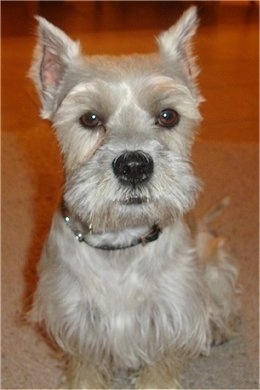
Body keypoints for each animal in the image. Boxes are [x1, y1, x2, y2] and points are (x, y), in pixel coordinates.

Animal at [29, 7, 240, 388]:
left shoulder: (171, 317)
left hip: (213, 259)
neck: (122, 239)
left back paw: (218, 328)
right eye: (89, 118)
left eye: (168, 115)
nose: (134, 166)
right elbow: (85, 367)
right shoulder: (78, 320)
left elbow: (161, 367)